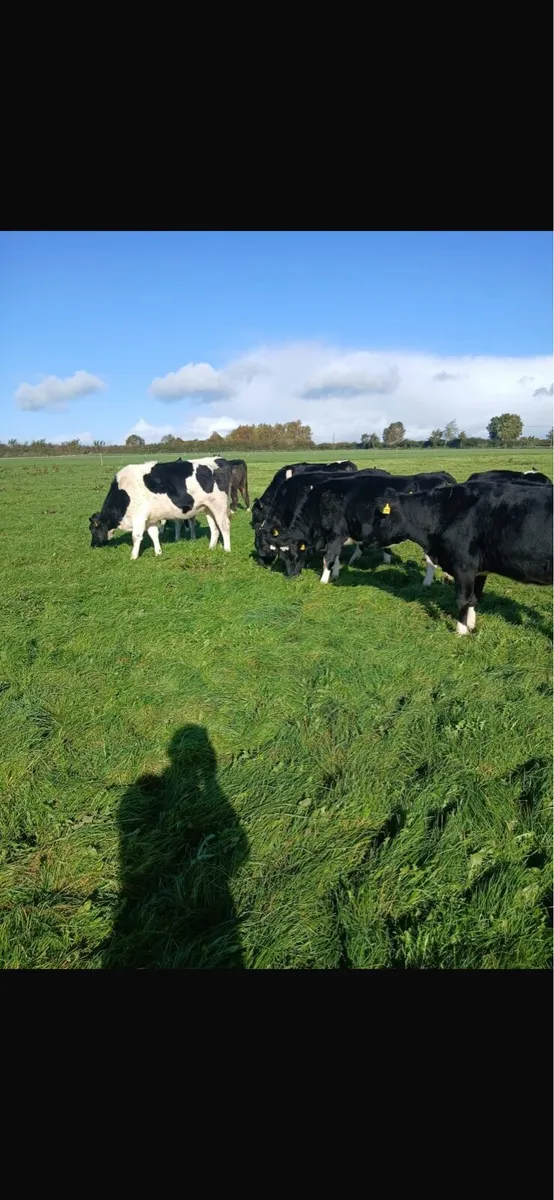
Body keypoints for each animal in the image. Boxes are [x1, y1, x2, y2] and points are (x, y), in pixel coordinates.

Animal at [89, 457, 232, 559]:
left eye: (93, 529)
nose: (92, 545)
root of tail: (219, 461)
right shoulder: (150, 519)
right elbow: (154, 535)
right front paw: (158, 552)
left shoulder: (139, 517)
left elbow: (136, 536)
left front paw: (133, 556)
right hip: (209, 508)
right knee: (214, 528)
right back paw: (211, 548)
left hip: (219, 506)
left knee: (224, 526)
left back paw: (227, 549)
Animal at [267, 471, 457, 583]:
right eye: (282, 557)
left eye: (294, 555)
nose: (291, 576)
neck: (321, 502)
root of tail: (440, 476)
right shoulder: (334, 538)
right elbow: (335, 556)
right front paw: (336, 573)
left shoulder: (336, 534)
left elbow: (328, 558)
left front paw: (323, 581)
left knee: (432, 561)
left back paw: (426, 583)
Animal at [366, 480, 553, 634]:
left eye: (380, 517)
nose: (365, 541)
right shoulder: (479, 569)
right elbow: (474, 598)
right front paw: (471, 626)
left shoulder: (463, 565)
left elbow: (463, 599)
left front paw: (461, 631)